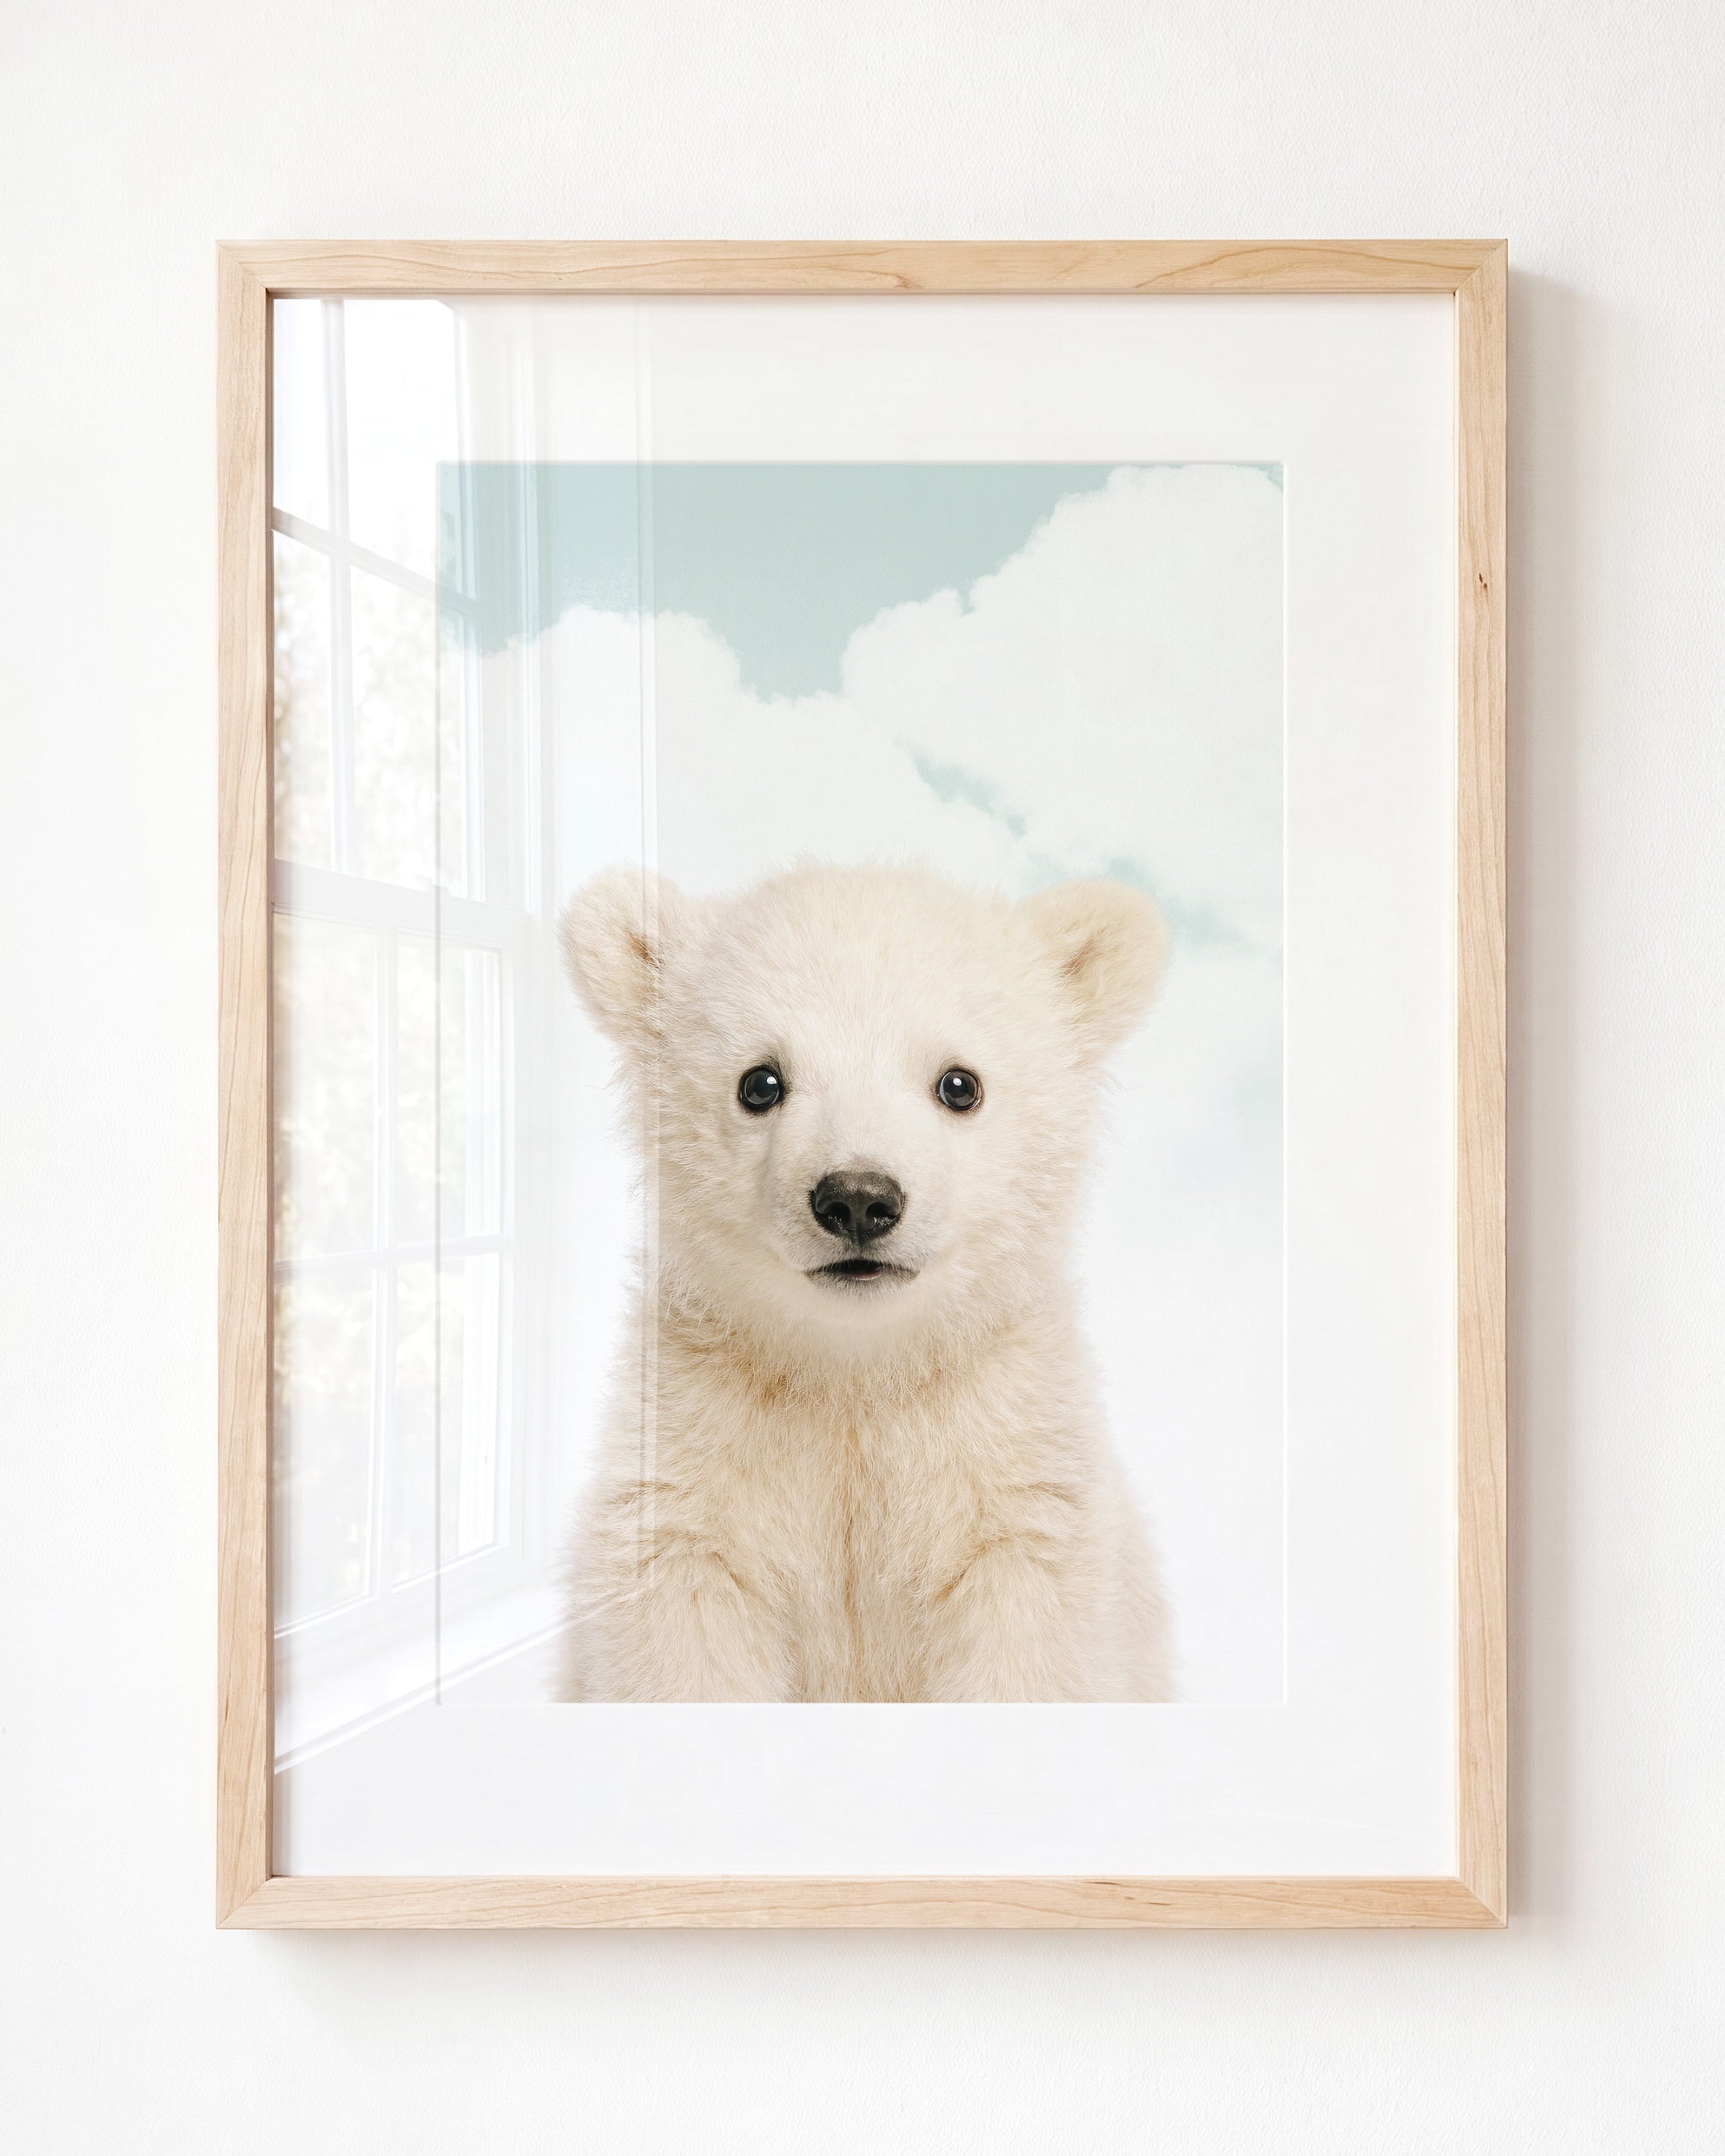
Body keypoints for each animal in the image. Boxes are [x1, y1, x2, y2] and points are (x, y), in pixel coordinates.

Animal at [554, 860, 1175, 1702]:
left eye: (959, 1083)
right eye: (759, 1082)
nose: (857, 1198)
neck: (857, 1371)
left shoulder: (1011, 1470)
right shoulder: (695, 1459)